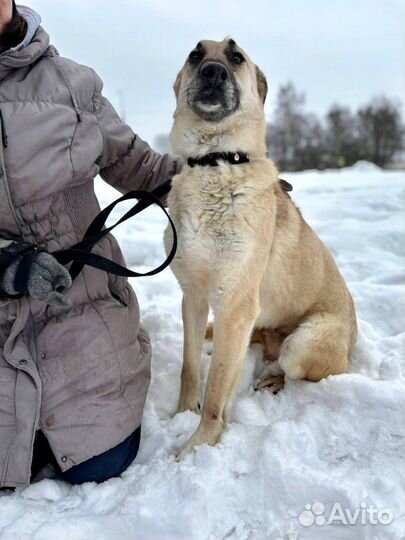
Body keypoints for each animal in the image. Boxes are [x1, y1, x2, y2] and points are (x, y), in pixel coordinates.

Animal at [163, 40, 356, 458]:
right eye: (195, 54)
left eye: (235, 57)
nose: (213, 72)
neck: (213, 163)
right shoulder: (193, 296)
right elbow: (189, 367)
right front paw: (182, 413)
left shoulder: (235, 304)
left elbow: (217, 388)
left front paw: (198, 445)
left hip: (303, 341)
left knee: (290, 366)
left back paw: (274, 380)